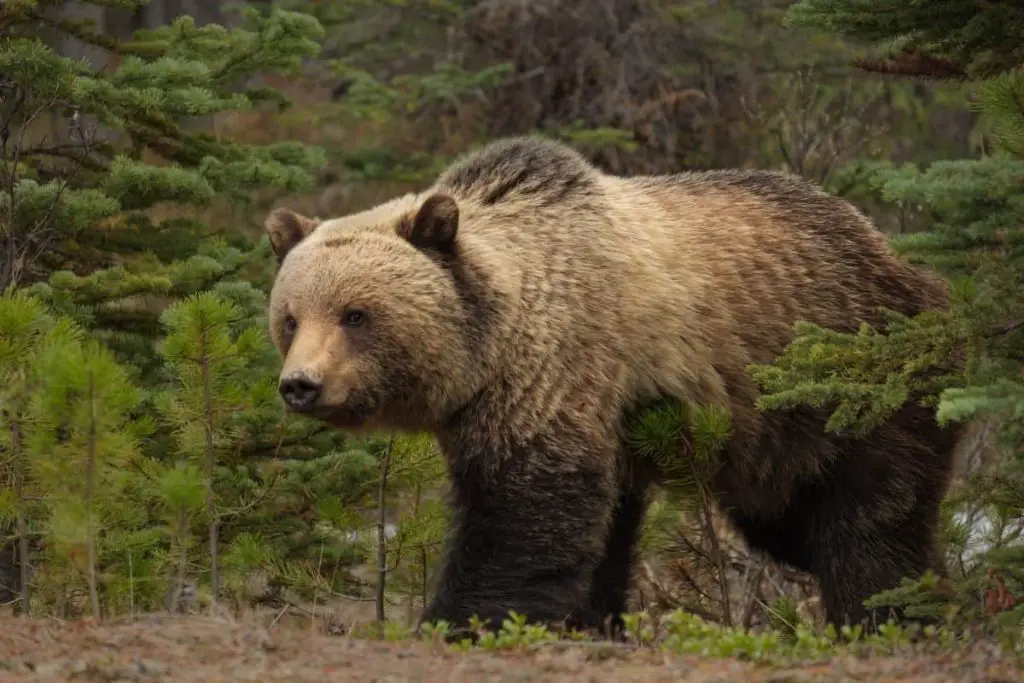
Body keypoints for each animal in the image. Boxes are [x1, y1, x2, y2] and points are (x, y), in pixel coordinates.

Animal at [262, 136, 958, 638]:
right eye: (290, 316)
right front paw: (591, 622)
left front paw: (457, 622)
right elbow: (596, 533)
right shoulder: (600, 418)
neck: (489, 349)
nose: (301, 385)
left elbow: (522, 512)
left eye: (356, 314)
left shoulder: (558, 368)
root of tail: (901, 260)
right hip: (769, 443)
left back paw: (888, 614)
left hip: (851, 387)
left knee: (866, 521)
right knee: (793, 525)